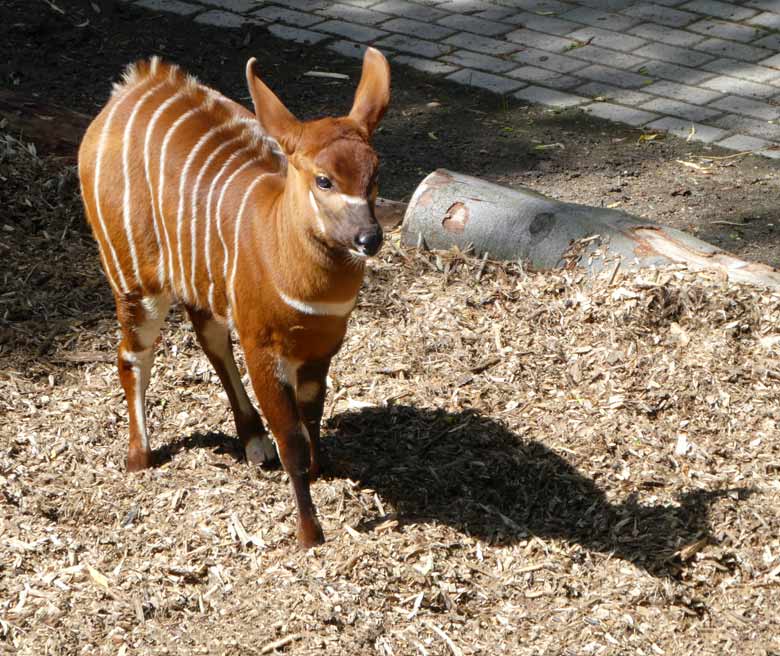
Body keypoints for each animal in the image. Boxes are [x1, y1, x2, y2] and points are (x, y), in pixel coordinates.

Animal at [79, 48, 390, 544]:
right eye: (324, 180)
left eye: (374, 174)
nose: (369, 238)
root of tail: (127, 89)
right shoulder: (263, 348)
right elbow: (292, 439)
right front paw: (310, 535)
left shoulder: (319, 351)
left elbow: (313, 416)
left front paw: (321, 470)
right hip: (134, 280)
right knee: (132, 355)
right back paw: (139, 457)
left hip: (198, 287)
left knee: (210, 342)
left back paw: (252, 441)